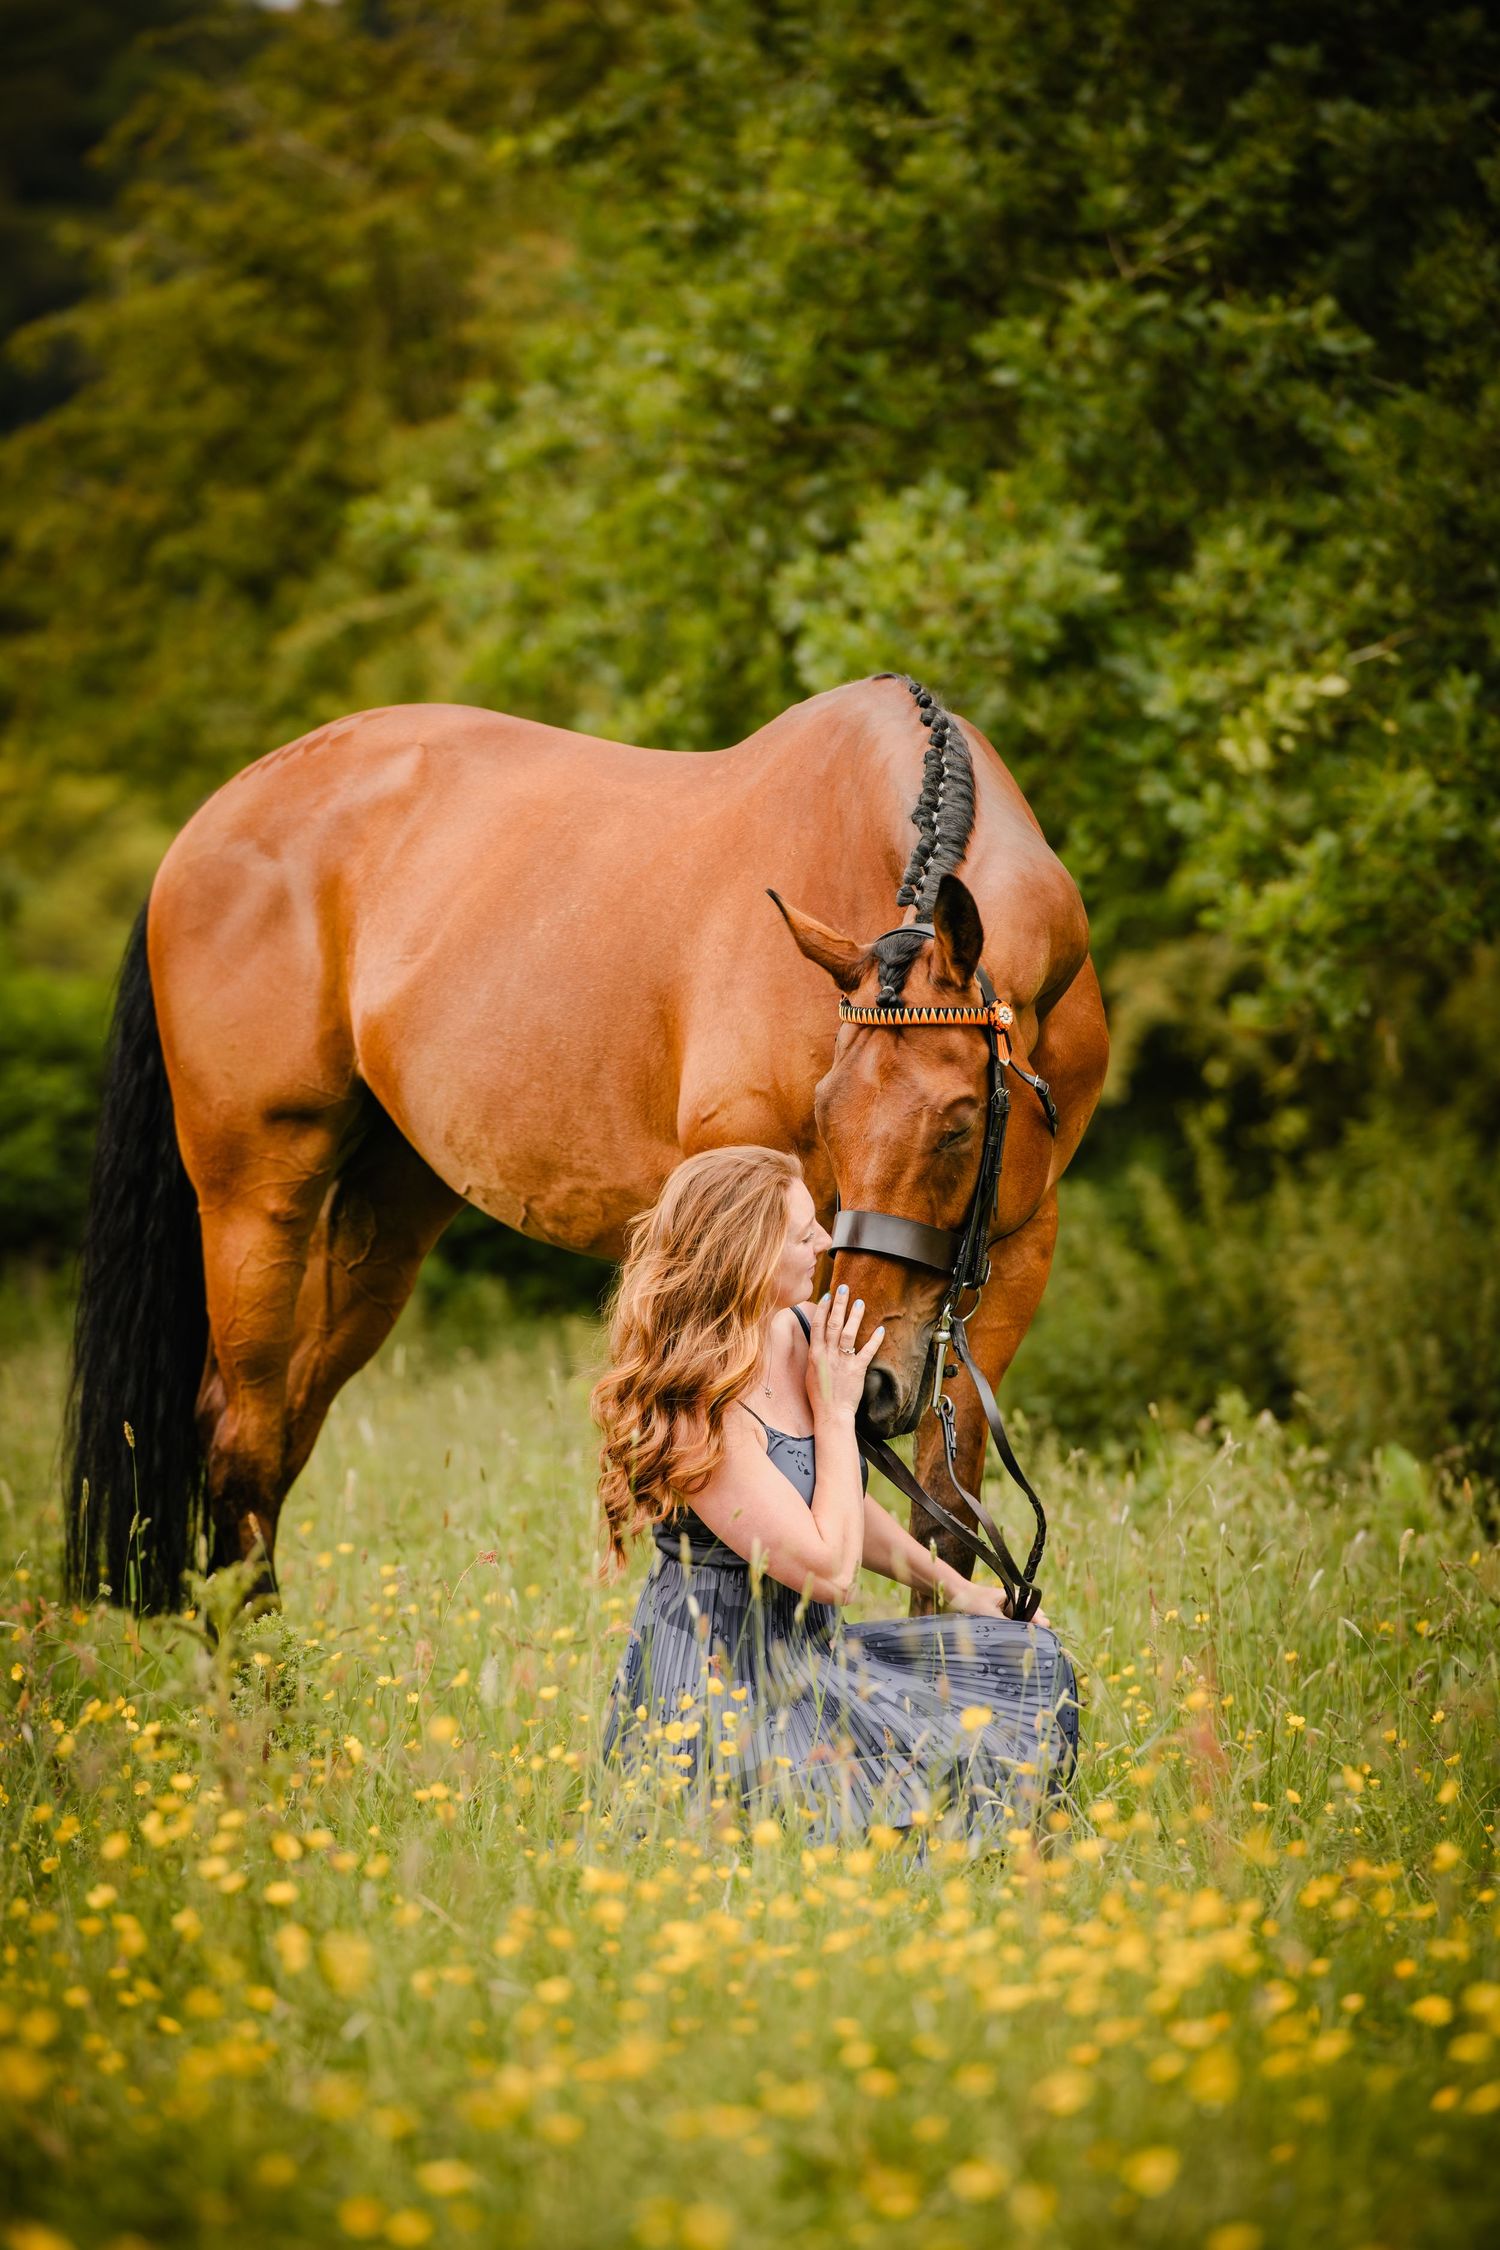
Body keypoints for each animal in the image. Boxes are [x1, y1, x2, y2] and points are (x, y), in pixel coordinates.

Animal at [65, 673, 1108, 1613]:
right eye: (827, 1113)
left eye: (961, 1121)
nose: (878, 1385)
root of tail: (213, 821)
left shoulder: (1017, 1255)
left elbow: (942, 1523)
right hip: (256, 1196)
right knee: (237, 1437)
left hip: (381, 1221)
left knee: (277, 1433)